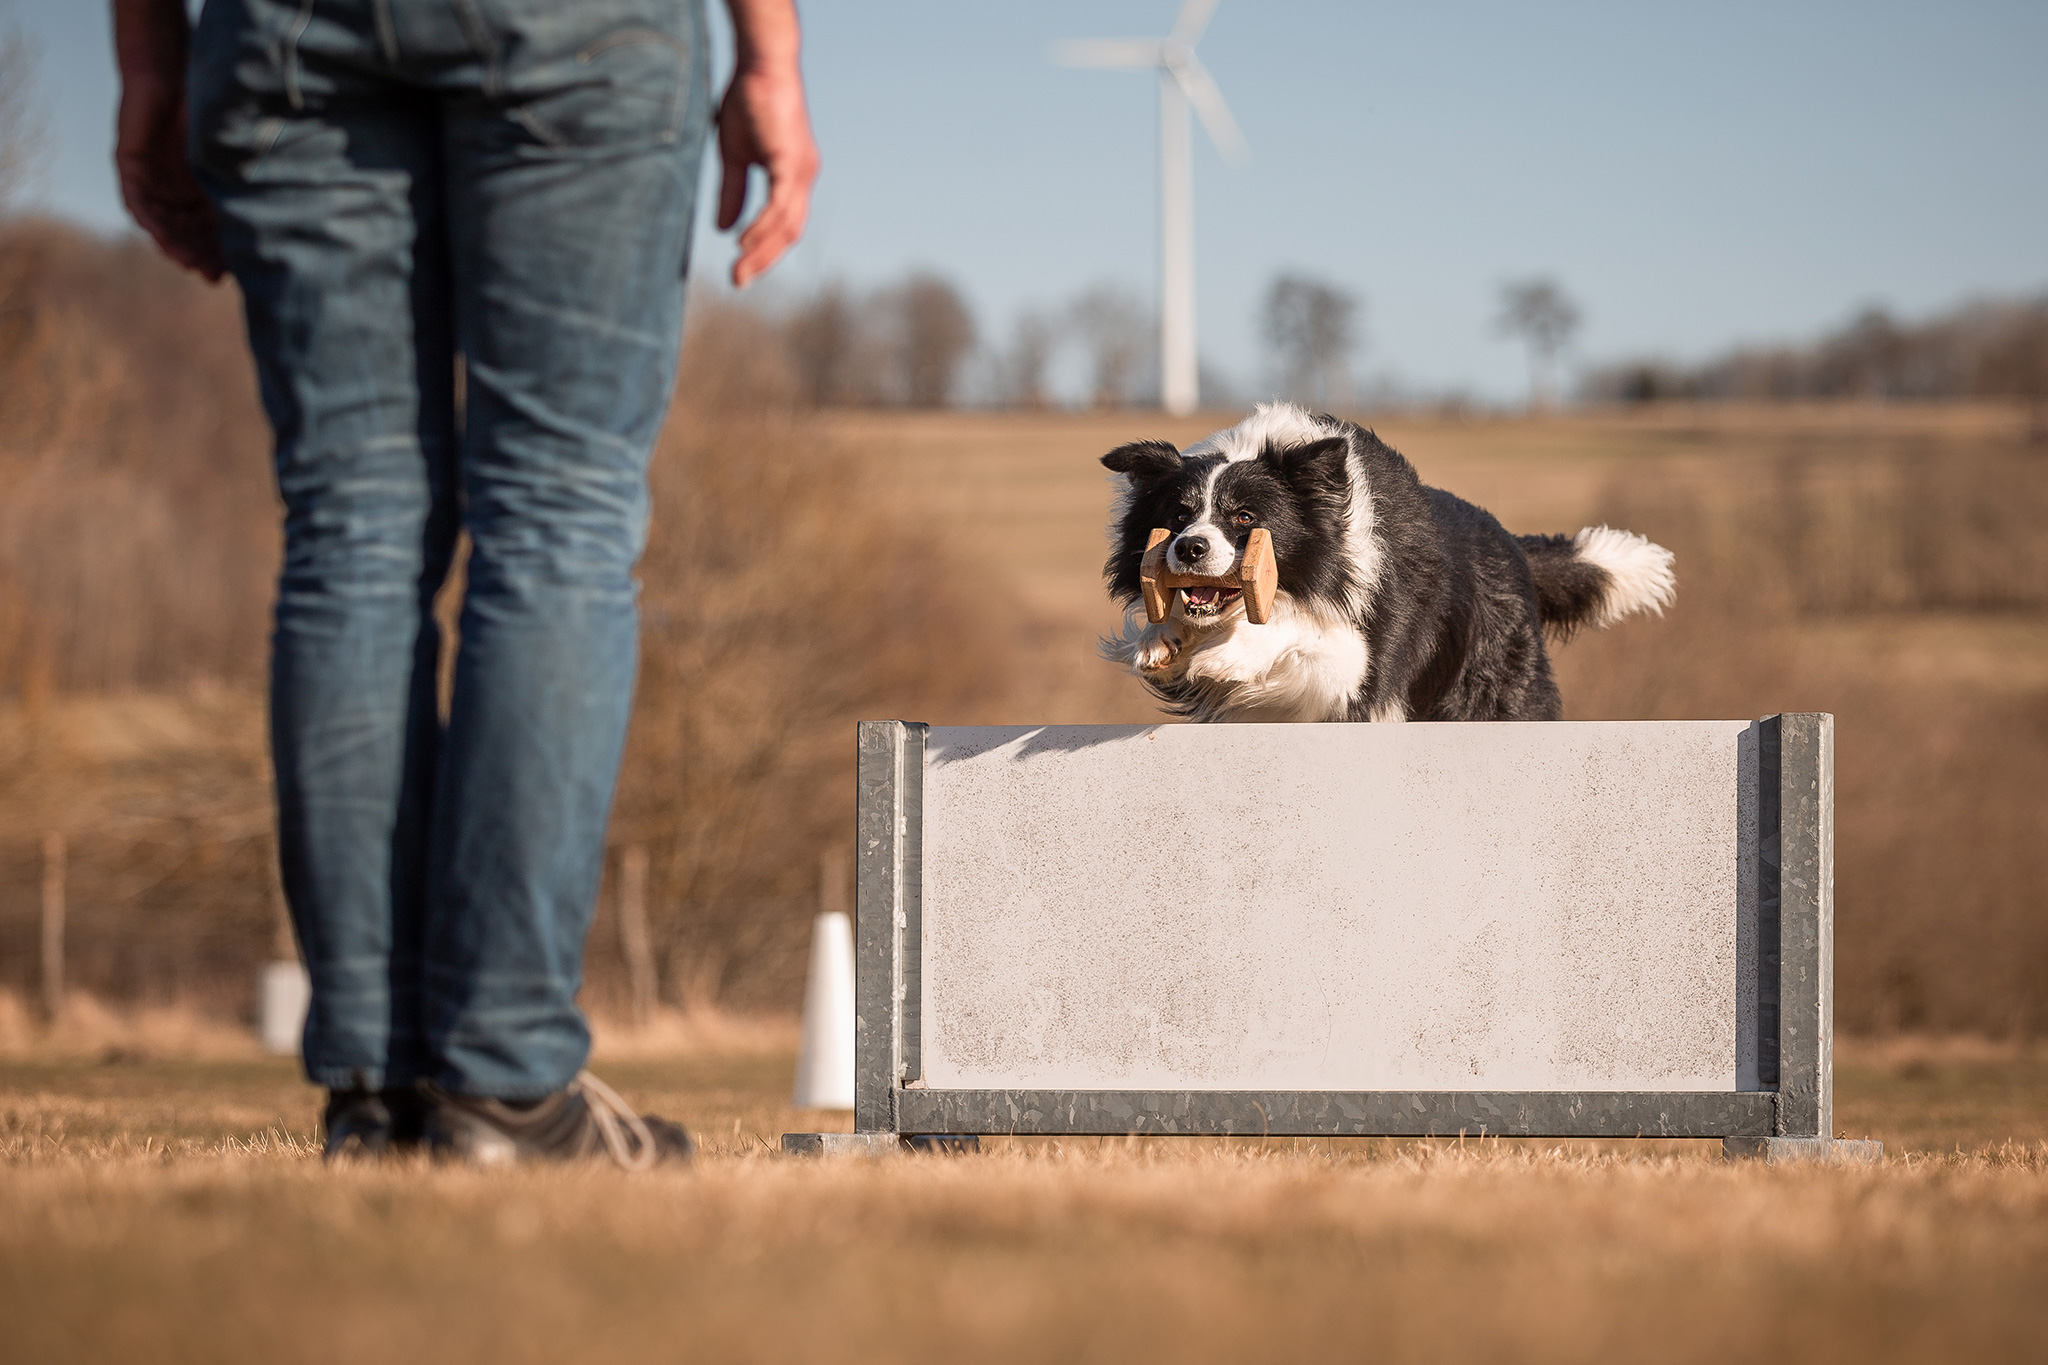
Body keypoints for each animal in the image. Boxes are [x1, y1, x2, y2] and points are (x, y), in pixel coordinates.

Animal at [1097, 405, 1671, 724]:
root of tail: (1510, 543)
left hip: (1491, 687)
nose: (1189, 549)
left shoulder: (1361, 667)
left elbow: (1298, 633)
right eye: (1178, 515)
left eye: (1244, 516)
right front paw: (1161, 640)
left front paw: (1224, 654)